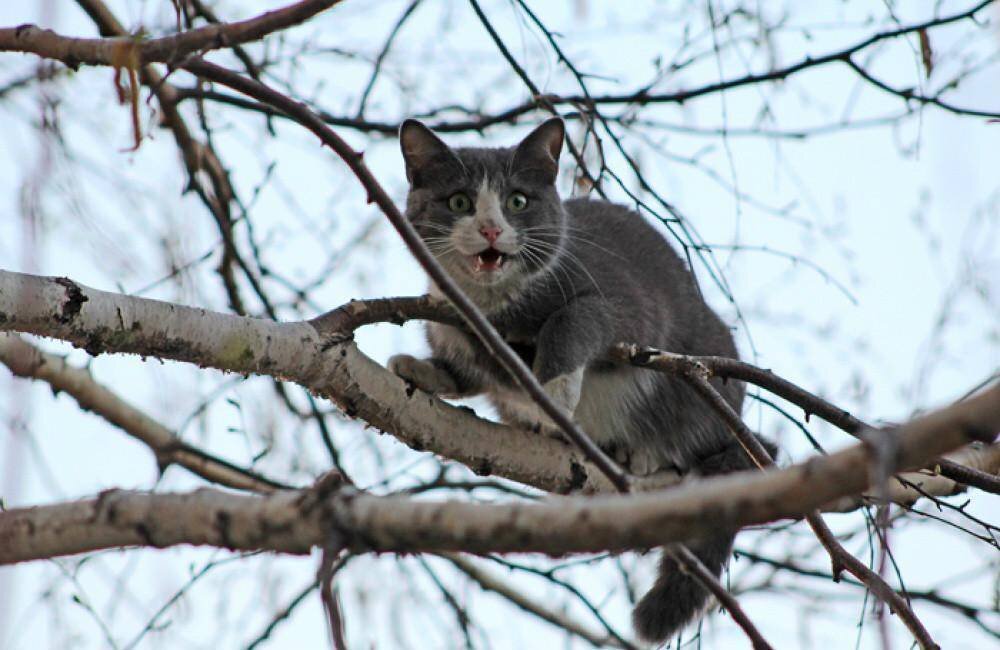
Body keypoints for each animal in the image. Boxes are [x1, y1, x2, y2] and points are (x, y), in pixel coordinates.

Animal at [386, 117, 768, 644]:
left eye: (518, 201)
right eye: (459, 201)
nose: (490, 228)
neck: (492, 309)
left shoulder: (625, 302)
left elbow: (574, 320)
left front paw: (554, 392)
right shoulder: (447, 319)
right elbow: (467, 368)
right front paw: (420, 369)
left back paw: (642, 452)